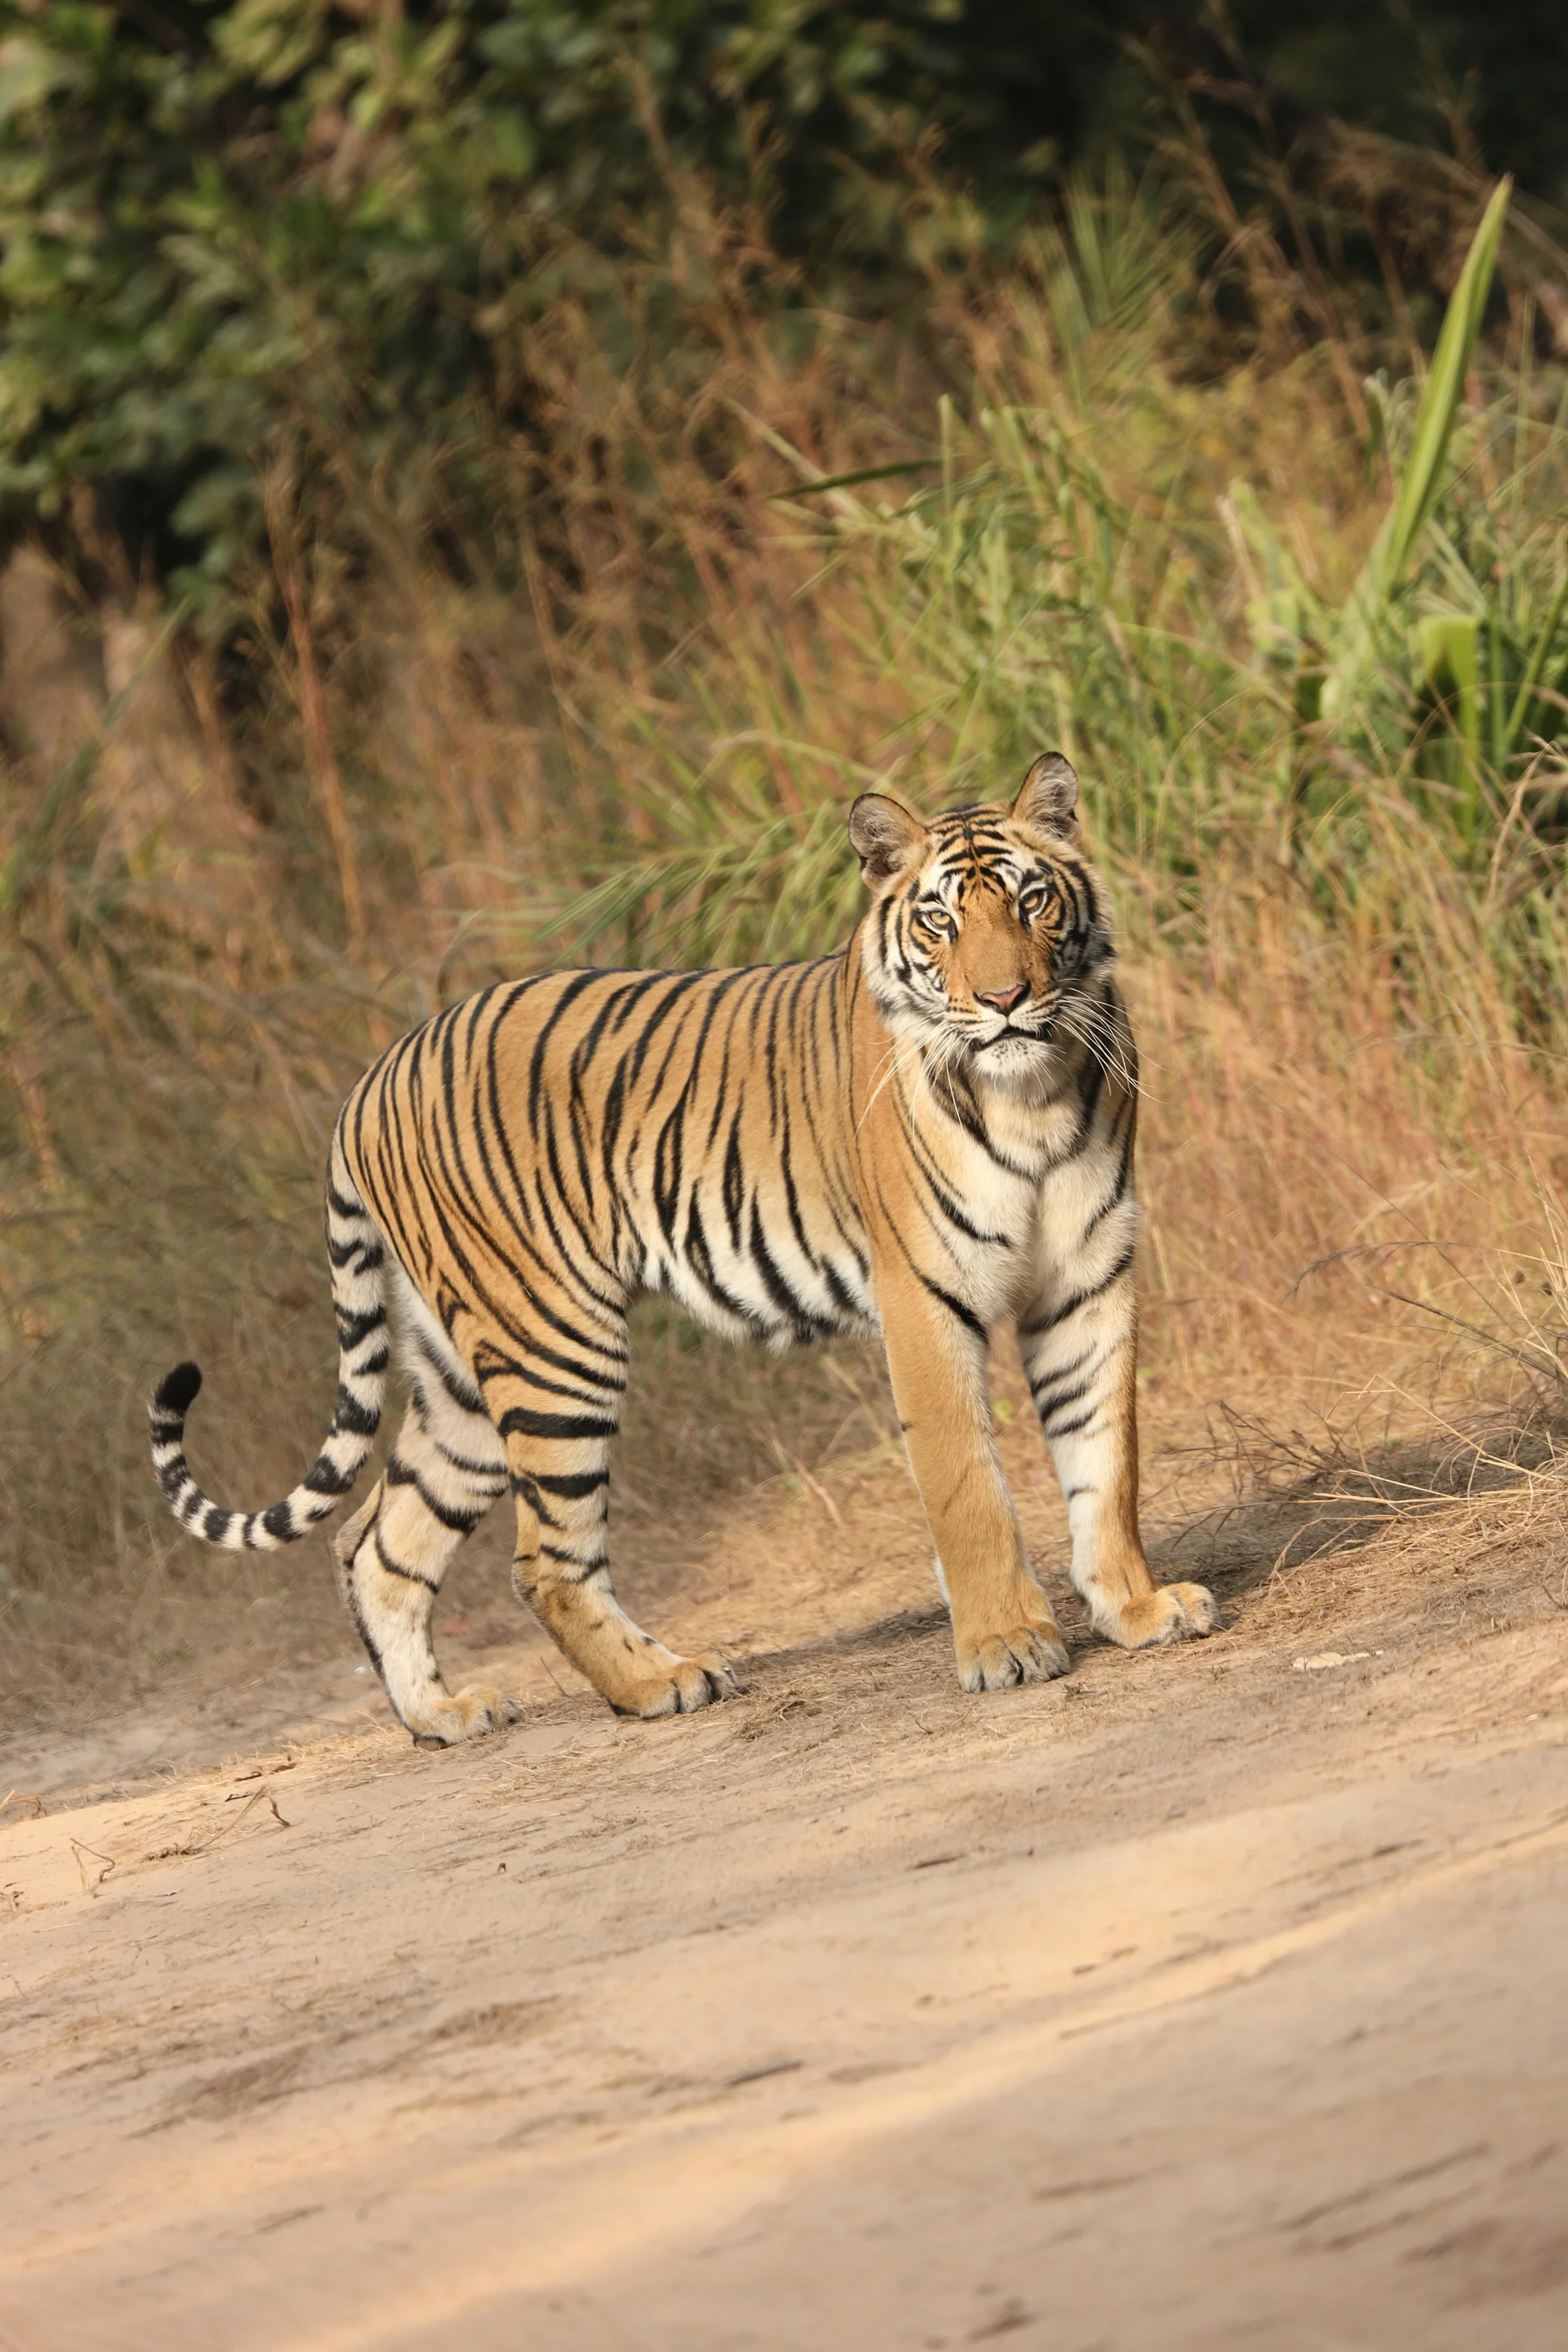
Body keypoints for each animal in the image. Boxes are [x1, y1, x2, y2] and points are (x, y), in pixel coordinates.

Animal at [148, 752, 1217, 1742]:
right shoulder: (923, 1297)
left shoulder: (1087, 1279)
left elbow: (1106, 1457)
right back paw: (662, 1683)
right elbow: (968, 1485)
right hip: (553, 1346)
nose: (1003, 1001)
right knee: (543, 1562)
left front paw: (1137, 1607)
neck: (1032, 1092)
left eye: (1033, 901)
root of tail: (369, 1078)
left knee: (378, 1545)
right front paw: (1006, 1646)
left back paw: (445, 1716)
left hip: (459, 1380)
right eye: (940, 923)